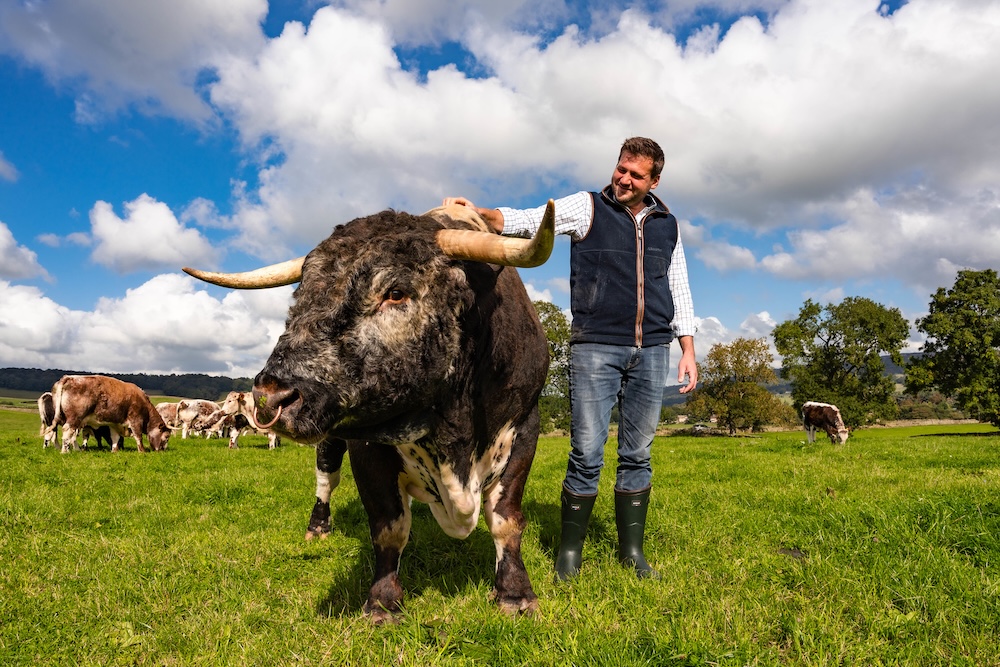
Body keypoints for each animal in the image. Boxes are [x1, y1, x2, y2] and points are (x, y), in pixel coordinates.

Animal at [183, 201, 555, 623]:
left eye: (396, 292)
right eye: (301, 295)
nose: (270, 397)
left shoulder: (524, 426)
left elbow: (506, 520)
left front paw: (514, 593)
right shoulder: (366, 442)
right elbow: (389, 526)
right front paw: (383, 601)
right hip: (328, 439)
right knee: (326, 480)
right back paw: (318, 526)